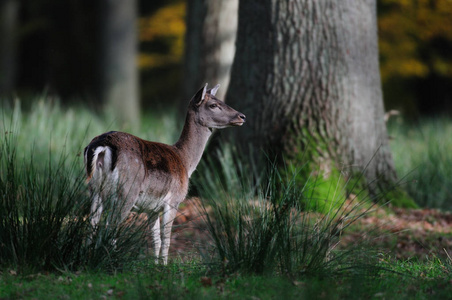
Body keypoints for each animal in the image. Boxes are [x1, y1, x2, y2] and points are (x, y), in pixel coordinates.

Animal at [85, 83, 247, 264]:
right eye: (213, 105)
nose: (242, 116)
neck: (185, 162)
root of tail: (102, 146)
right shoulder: (174, 200)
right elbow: (166, 237)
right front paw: (164, 265)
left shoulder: (151, 208)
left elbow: (155, 238)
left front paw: (155, 264)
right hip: (126, 191)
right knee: (110, 226)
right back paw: (110, 260)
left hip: (95, 189)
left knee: (92, 223)